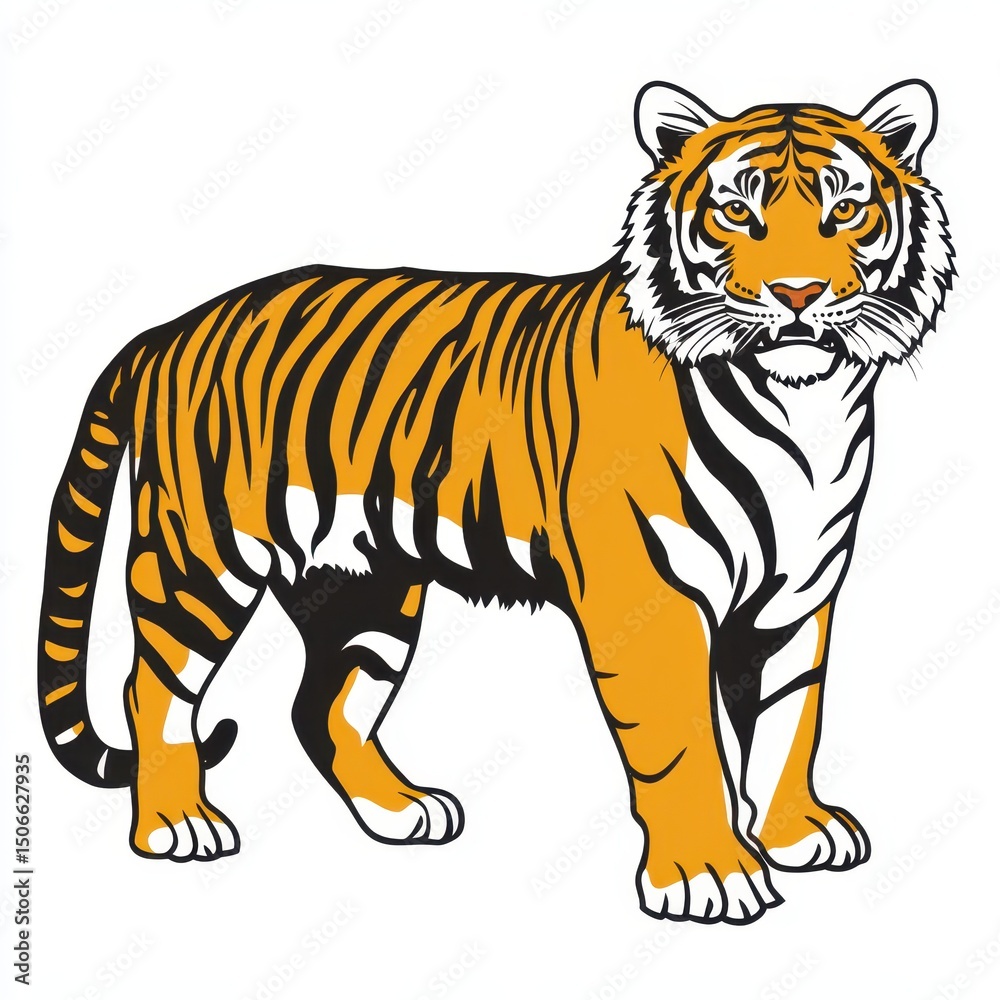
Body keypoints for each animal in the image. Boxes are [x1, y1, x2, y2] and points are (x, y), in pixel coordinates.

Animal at [38, 79, 953, 924]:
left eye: (845, 210)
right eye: (736, 212)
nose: (798, 294)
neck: (803, 407)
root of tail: (168, 330)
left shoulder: (796, 593)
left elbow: (791, 718)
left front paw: (798, 833)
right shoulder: (649, 594)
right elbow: (684, 742)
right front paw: (708, 874)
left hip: (369, 590)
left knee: (322, 707)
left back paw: (403, 811)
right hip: (201, 557)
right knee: (153, 691)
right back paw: (178, 825)